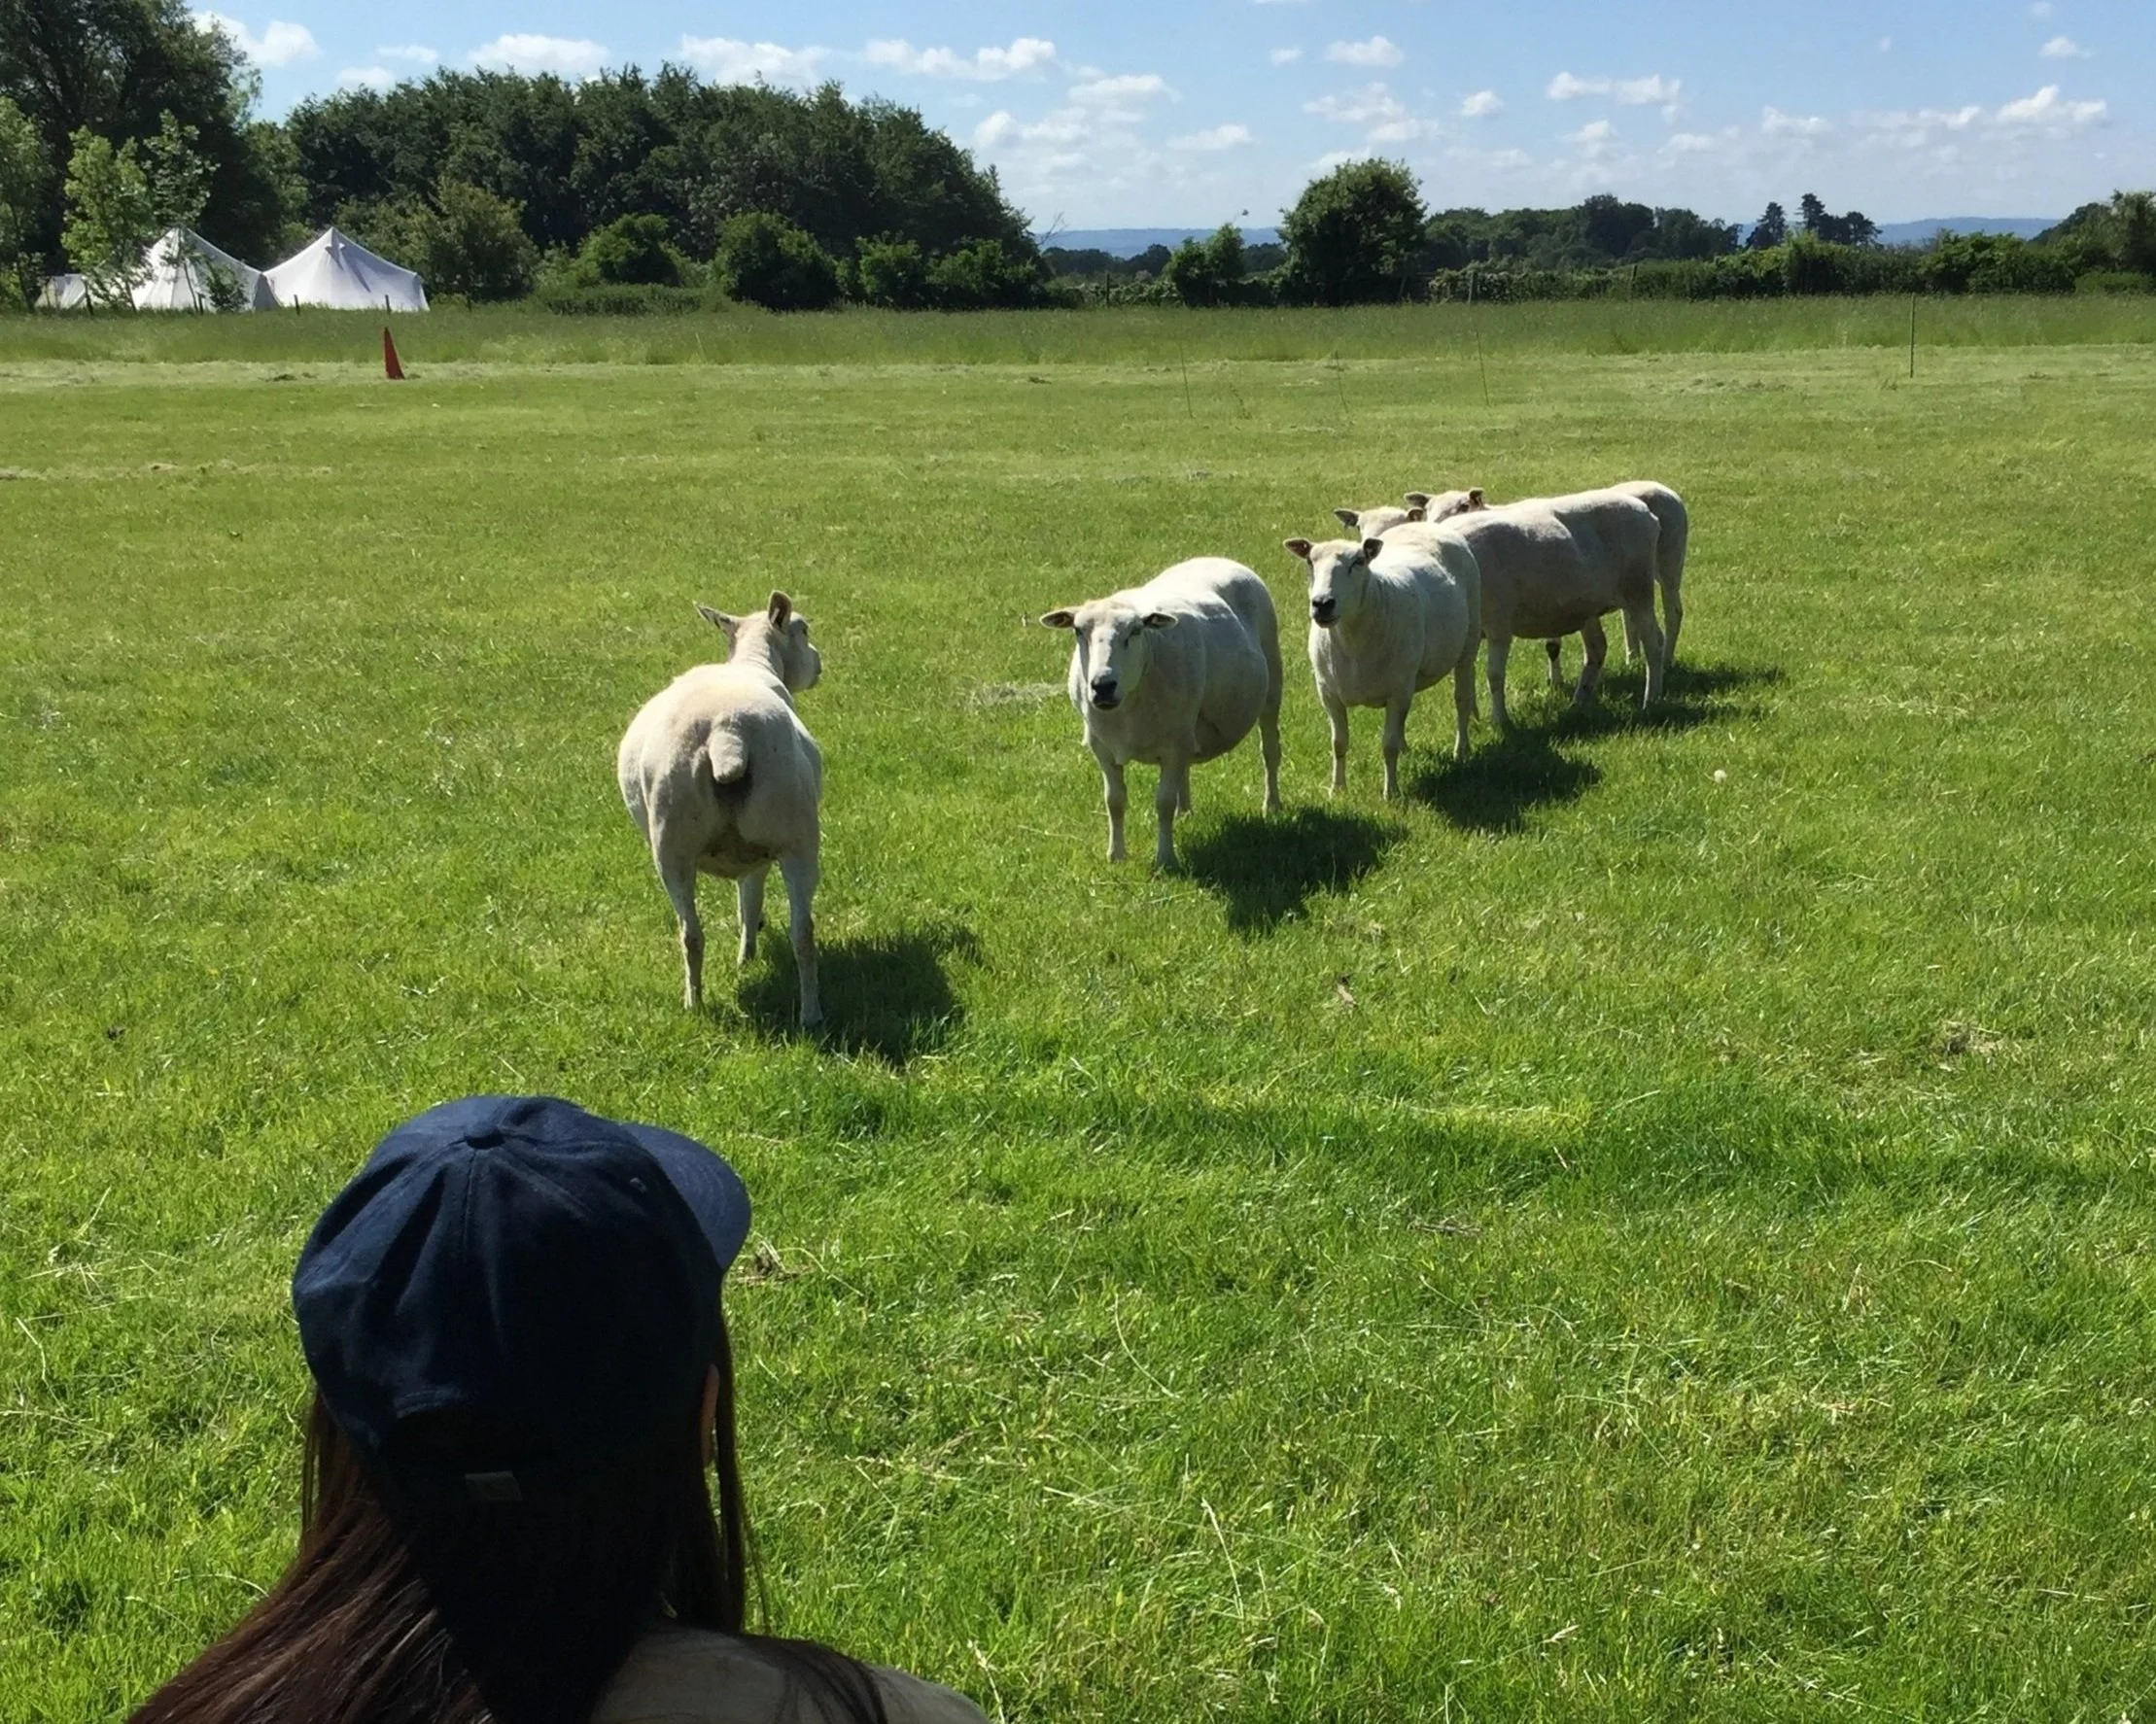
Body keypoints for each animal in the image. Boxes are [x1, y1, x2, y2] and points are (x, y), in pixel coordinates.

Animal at [617, 593, 824, 1025]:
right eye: (804, 629)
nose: (818, 663)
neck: (753, 662)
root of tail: (728, 736)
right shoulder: (756, 856)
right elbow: (750, 903)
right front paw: (748, 954)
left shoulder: (754, 855)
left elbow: (748, 903)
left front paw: (745, 956)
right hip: (786, 834)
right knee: (793, 932)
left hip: (677, 844)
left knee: (698, 933)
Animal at [1040, 558, 1283, 869]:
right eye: (1078, 631)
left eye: (1135, 631)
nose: (1103, 686)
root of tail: (1217, 557)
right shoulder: (1103, 747)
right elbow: (1114, 801)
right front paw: (1116, 855)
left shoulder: (1173, 745)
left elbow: (1163, 803)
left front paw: (1165, 859)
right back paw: (1186, 811)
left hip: (1271, 685)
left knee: (1270, 751)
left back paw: (1272, 805)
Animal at [1282, 529, 1481, 799]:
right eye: (1310, 562)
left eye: (1358, 562)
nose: (1322, 603)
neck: (1352, 640)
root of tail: (1428, 527)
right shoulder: (1329, 693)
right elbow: (1339, 743)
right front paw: (1338, 789)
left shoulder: (1398, 691)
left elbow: (1388, 746)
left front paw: (1391, 793)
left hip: (1468, 644)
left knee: (1462, 699)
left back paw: (1461, 750)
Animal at [1393, 487, 1665, 731]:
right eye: (1426, 511)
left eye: (1463, 505)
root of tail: (1646, 513)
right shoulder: (1470, 634)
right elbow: (1467, 677)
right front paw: (1473, 720)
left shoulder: (1499, 625)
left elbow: (1494, 675)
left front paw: (1500, 721)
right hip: (1589, 606)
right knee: (1597, 649)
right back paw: (1579, 702)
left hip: (1638, 589)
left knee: (1654, 643)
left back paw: (1650, 700)